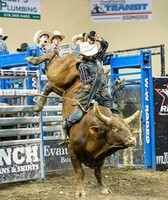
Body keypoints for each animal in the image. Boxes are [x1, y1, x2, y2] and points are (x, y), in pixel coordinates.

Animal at [26, 50, 139, 198]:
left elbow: (98, 172)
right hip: (58, 74)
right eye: (114, 128)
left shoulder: (100, 158)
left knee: (49, 85)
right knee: (53, 58)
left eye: (128, 128)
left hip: (61, 88)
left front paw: (103, 188)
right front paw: (80, 191)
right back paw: (34, 60)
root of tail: (76, 57)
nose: (132, 139)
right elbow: (80, 172)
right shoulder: (73, 153)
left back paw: (38, 104)